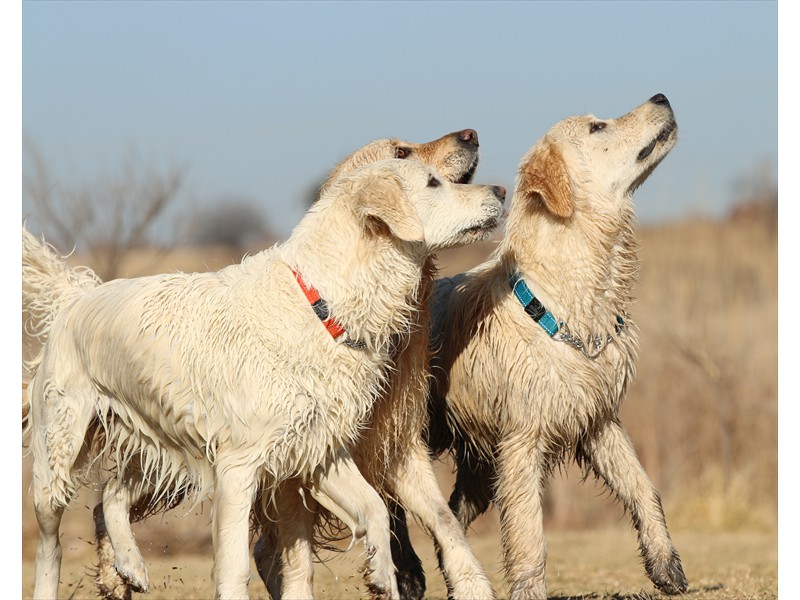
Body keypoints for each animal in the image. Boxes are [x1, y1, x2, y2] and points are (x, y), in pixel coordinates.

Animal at [21, 156, 504, 600]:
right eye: (433, 182)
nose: (500, 190)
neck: (321, 303)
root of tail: (77, 295)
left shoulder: (316, 451)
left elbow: (375, 510)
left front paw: (381, 574)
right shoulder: (239, 468)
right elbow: (235, 567)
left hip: (161, 445)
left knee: (110, 496)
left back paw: (131, 566)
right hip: (59, 459)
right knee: (51, 542)